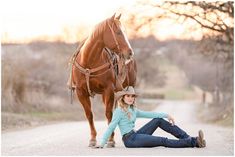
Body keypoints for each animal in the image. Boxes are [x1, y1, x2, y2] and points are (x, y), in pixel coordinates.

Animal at [69, 13, 137, 147]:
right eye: (118, 32)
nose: (130, 52)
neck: (89, 62)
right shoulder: (81, 92)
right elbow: (89, 114)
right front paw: (92, 139)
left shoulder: (108, 90)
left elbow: (108, 114)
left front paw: (111, 140)